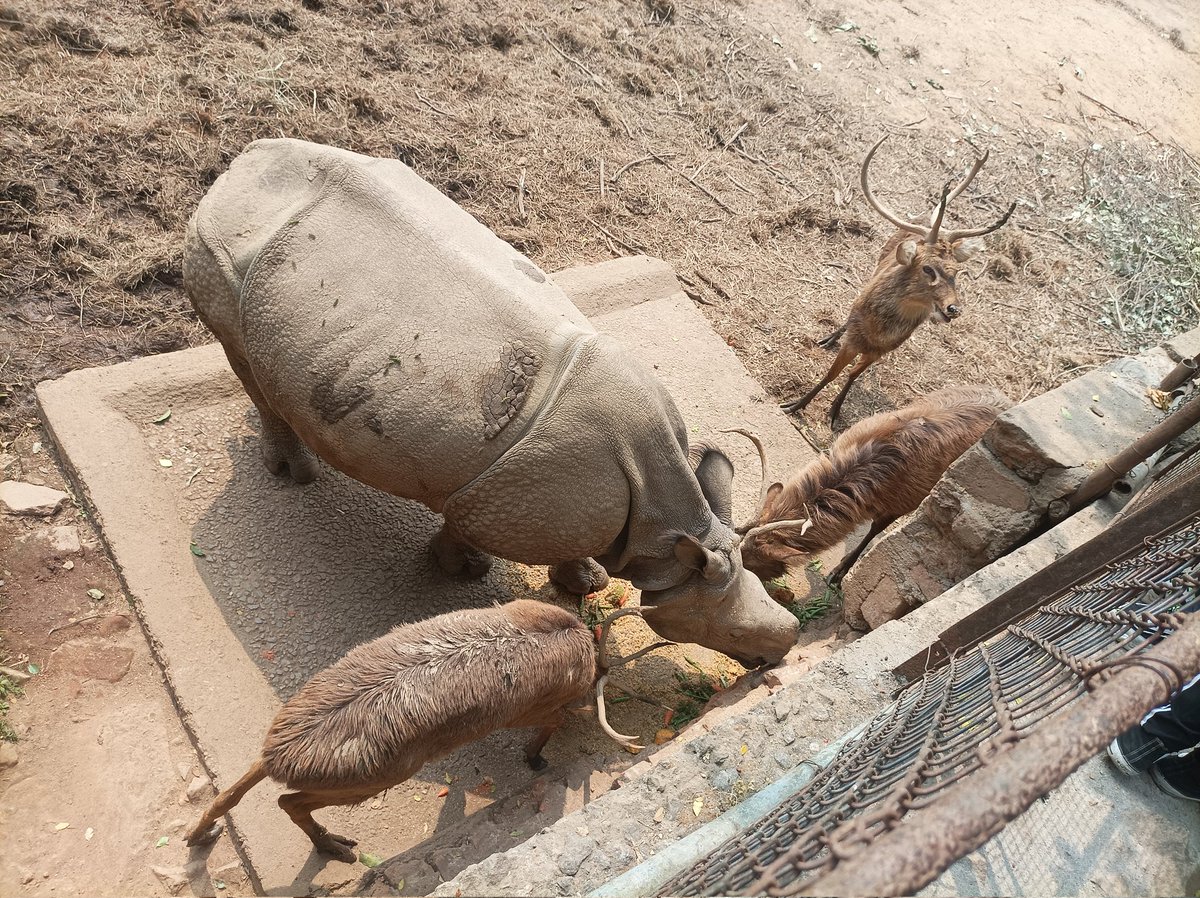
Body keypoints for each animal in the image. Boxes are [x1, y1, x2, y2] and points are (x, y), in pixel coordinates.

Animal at [183, 598, 693, 863]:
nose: (603, 671)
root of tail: (280, 753)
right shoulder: (530, 711)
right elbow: (553, 724)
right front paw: (535, 759)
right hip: (376, 776)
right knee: (288, 801)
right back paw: (338, 847)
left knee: (243, 785)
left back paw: (199, 833)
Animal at [780, 136, 1017, 425]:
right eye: (928, 269)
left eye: (956, 272)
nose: (954, 308)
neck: (878, 332)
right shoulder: (855, 339)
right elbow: (832, 373)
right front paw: (794, 405)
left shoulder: (882, 350)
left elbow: (852, 374)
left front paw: (835, 413)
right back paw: (829, 337)